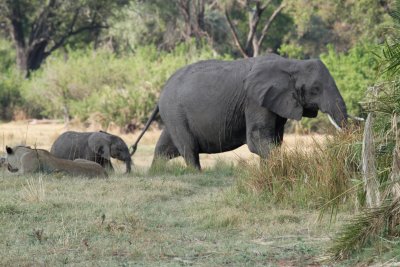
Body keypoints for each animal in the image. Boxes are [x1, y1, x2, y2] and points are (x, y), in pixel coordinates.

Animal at [131, 54, 346, 170]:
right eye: (316, 89)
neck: (292, 64)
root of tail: (161, 92)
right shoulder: (255, 101)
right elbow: (257, 139)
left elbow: (274, 140)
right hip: (175, 112)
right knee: (188, 148)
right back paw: (196, 174)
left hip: (173, 115)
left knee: (164, 148)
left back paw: (155, 173)